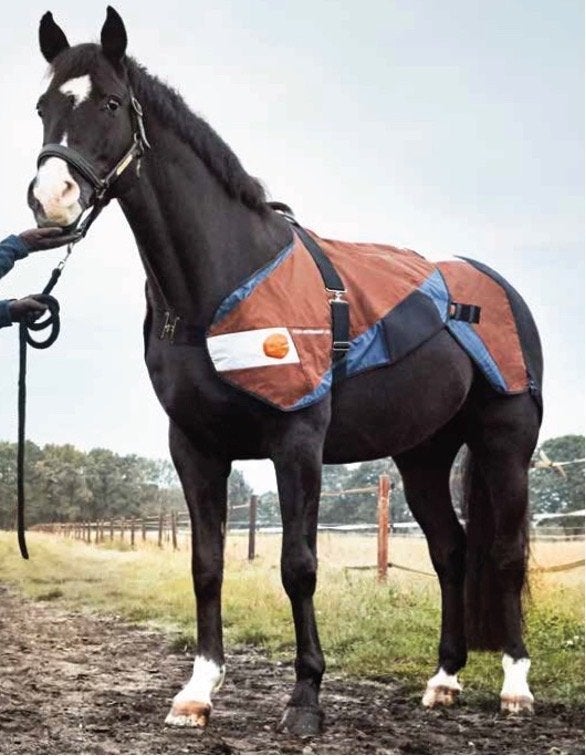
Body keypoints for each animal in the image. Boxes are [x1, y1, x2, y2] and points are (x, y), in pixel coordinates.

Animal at [28, 7, 543, 736]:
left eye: (109, 103)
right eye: (44, 106)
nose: (51, 199)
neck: (218, 282)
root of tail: (499, 288)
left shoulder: (296, 441)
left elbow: (298, 565)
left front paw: (305, 699)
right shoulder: (194, 447)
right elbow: (206, 564)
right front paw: (197, 691)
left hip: (505, 443)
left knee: (504, 554)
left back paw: (516, 687)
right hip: (424, 455)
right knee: (451, 551)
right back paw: (443, 679)